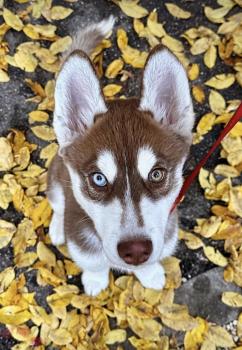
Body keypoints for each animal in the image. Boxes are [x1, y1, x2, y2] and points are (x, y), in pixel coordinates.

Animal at [47, 16, 195, 296]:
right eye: (98, 178)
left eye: (156, 174)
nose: (135, 251)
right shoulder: (82, 241)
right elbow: (93, 263)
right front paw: (95, 280)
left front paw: (150, 273)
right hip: (55, 180)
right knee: (58, 204)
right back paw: (57, 227)